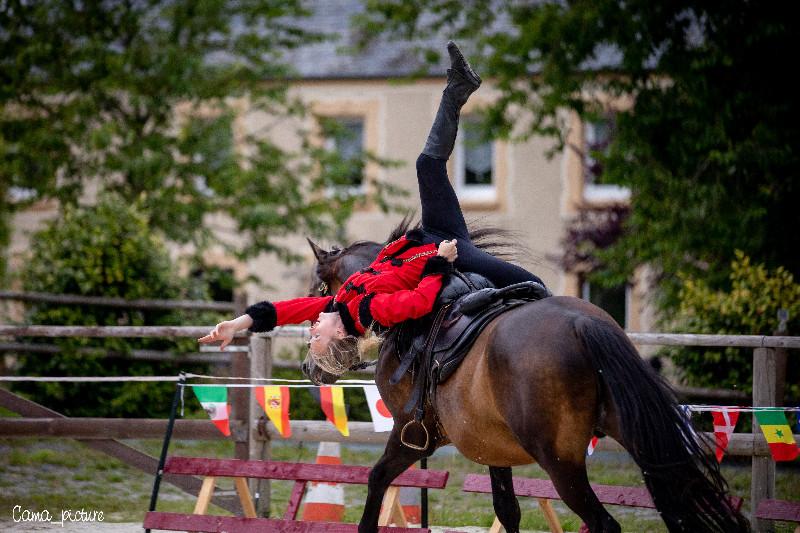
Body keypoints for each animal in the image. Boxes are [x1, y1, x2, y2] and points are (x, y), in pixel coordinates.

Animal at [300, 224, 752, 532]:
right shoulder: (493, 447)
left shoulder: (414, 434)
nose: (309, 367)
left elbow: (376, 479)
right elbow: (508, 510)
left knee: (604, 523)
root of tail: (583, 325)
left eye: (321, 288)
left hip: (562, 464)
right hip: (635, 431)